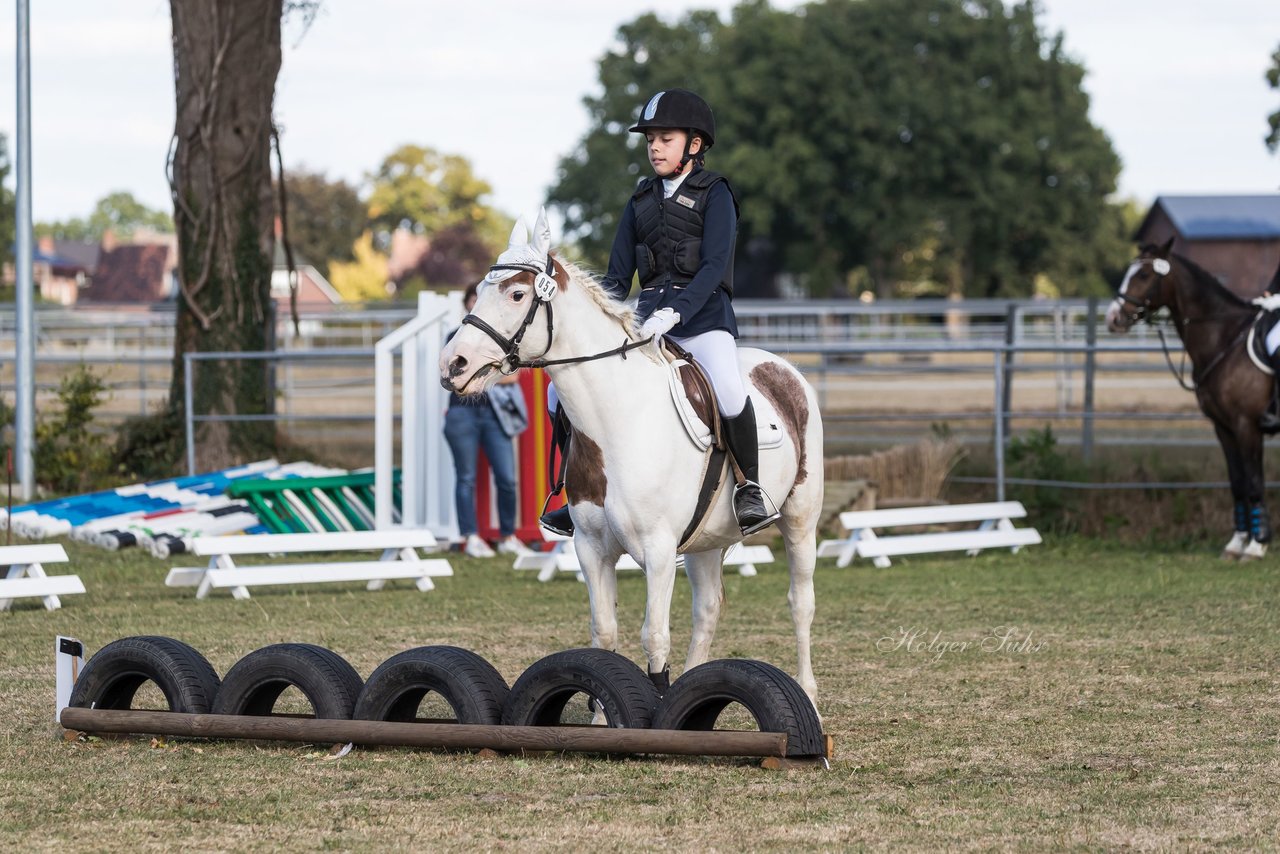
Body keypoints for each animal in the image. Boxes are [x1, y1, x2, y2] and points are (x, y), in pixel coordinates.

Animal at [440, 209, 824, 706]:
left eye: (517, 294)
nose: (453, 364)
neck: (618, 419)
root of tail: (783, 367)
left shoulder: (658, 553)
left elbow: (654, 638)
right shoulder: (591, 548)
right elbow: (604, 636)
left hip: (799, 519)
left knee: (800, 602)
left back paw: (808, 692)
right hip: (706, 540)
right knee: (707, 610)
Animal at [1105, 239, 1274, 560]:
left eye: (1143, 275)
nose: (1113, 318)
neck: (1224, 340)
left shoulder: (1247, 426)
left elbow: (1255, 483)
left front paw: (1257, 546)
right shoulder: (1224, 427)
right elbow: (1238, 483)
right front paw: (1236, 543)